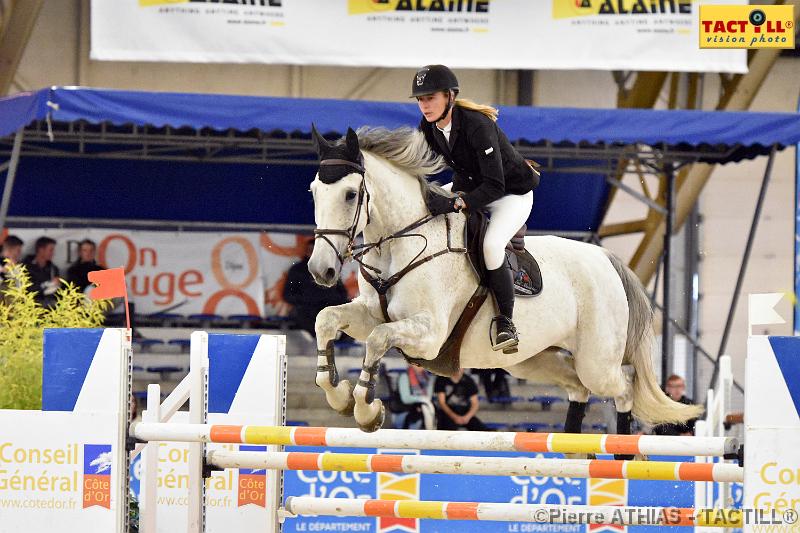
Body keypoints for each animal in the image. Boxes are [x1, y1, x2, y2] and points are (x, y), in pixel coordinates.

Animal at [306, 124, 700, 436]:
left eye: (350, 194)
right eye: (313, 191)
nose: (320, 270)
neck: (401, 243)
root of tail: (606, 259)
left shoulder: (429, 334)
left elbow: (377, 339)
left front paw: (366, 410)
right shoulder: (372, 313)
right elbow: (326, 319)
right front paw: (338, 394)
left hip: (597, 361)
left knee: (624, 388)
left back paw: (622, 456)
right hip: (534, 359)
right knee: (578, 388)